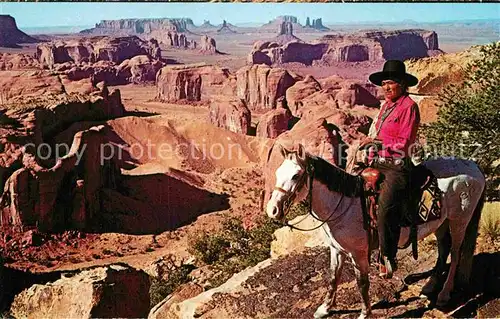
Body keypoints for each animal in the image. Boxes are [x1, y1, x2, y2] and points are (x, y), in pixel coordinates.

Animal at [268, 145, 486, 319]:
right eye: (277, 173)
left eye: (296, 175)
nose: (272, 210)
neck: (345, 205)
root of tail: (475, 168)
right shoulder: (336, 250)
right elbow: (333, 277)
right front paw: (324, 308)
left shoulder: (358, 253)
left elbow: (362, 283)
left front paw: (365, 313)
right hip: (441, 223)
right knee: (443, 249)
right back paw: (430, 286)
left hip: (459, 221)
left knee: (456, 254)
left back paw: (443, 294)